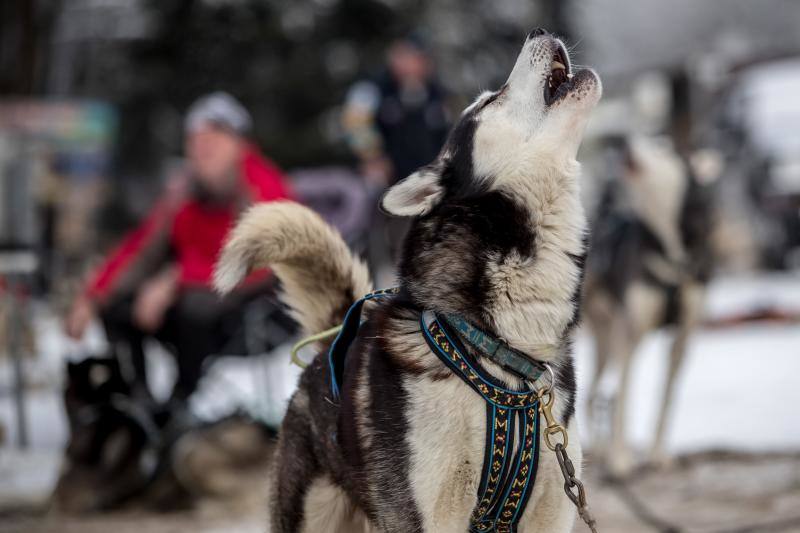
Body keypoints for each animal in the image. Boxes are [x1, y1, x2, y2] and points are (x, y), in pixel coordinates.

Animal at [580, 136, 712, 474]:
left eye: (661, 144)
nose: (623, 142)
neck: (671, 252)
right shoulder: (631, 336)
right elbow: (624, 400)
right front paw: (621, 460)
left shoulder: (682, 339)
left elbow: (665, 401)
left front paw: (656, 454)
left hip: (608, 338)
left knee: (595, 394)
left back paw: (598, 450)